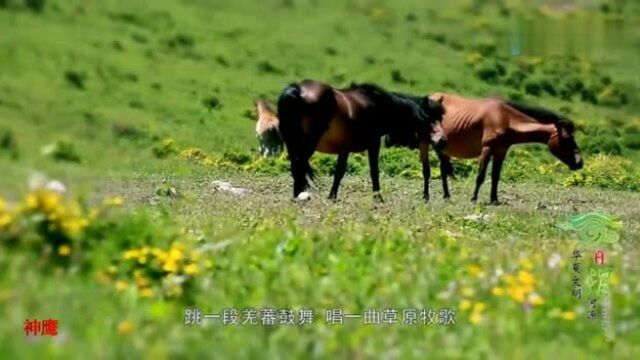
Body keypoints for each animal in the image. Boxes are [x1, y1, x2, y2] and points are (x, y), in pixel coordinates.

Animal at [278, 79, 448, 201]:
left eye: (441, 118)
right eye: (428, 118)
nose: (442, 140)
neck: (378, 106)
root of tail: (297, 91)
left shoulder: (344, 148)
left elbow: (339, 172)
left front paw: (332, 196)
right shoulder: (374, 143)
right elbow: (374, 171)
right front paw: (378, 198)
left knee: (296, 166)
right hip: (308, 143)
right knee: (299, 165)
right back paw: (300, 194)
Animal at [422, 93, 584, 204]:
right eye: (567, 139)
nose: (579, 162)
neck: (505, 119)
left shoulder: (501, 152)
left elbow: (495, 177)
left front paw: (494, 199)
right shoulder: (487, 149)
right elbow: (481, 176)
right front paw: (474, 198)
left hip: (443, 148)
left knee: (443, 168)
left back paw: (446, 195)